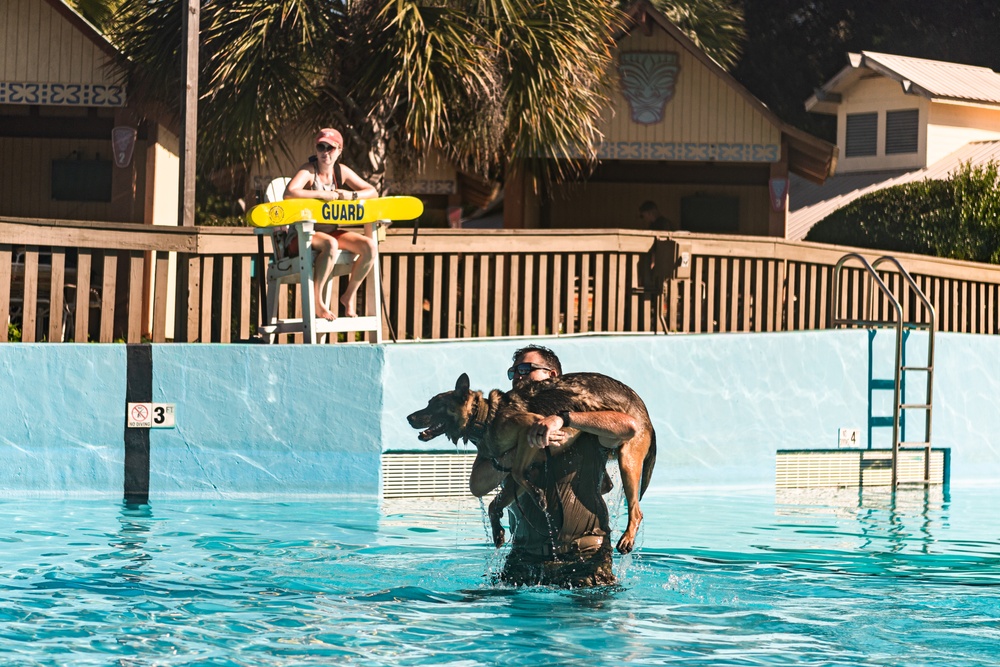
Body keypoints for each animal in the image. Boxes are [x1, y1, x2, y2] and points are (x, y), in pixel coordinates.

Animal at [406, 374, 656, 556]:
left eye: (435, 405)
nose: (409, 418)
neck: (486, 417)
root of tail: (645, 411)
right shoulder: (527, 464)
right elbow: (496, 501)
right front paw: (498, 530)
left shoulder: (532, 426)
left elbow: (518, 472)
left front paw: (537, 495)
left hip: (628, 461)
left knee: (637, 510)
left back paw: (627, 537)